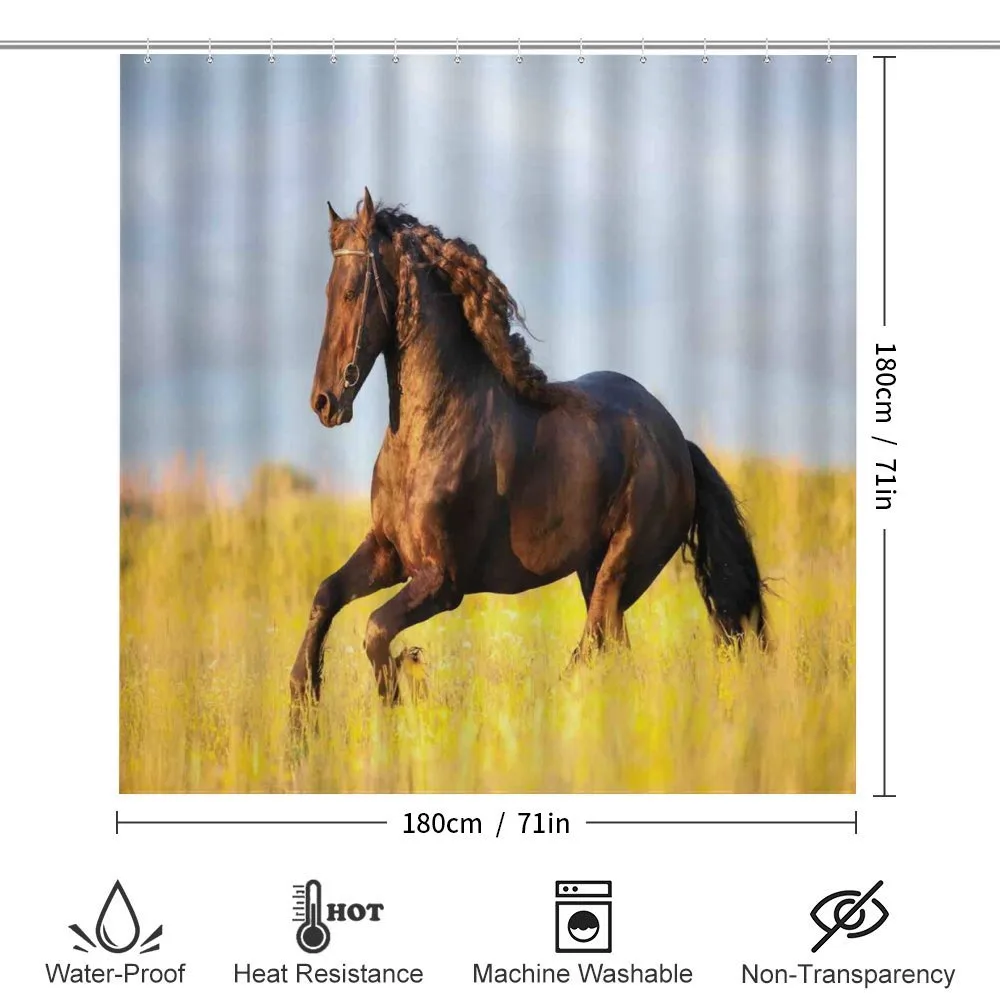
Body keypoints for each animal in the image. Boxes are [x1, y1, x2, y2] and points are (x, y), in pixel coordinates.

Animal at [289, 188, 766, 709]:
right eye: (328, 293)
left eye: (353, 292)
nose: (324, 402)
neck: (429, 435)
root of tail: (678, 442)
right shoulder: (387, 553)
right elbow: (325, 595)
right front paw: (302, 701)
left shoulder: (443, 582)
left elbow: (375, 629)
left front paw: (404, 684)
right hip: (592, 570)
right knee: (613, 647)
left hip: (621, 568)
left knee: (594, 640)